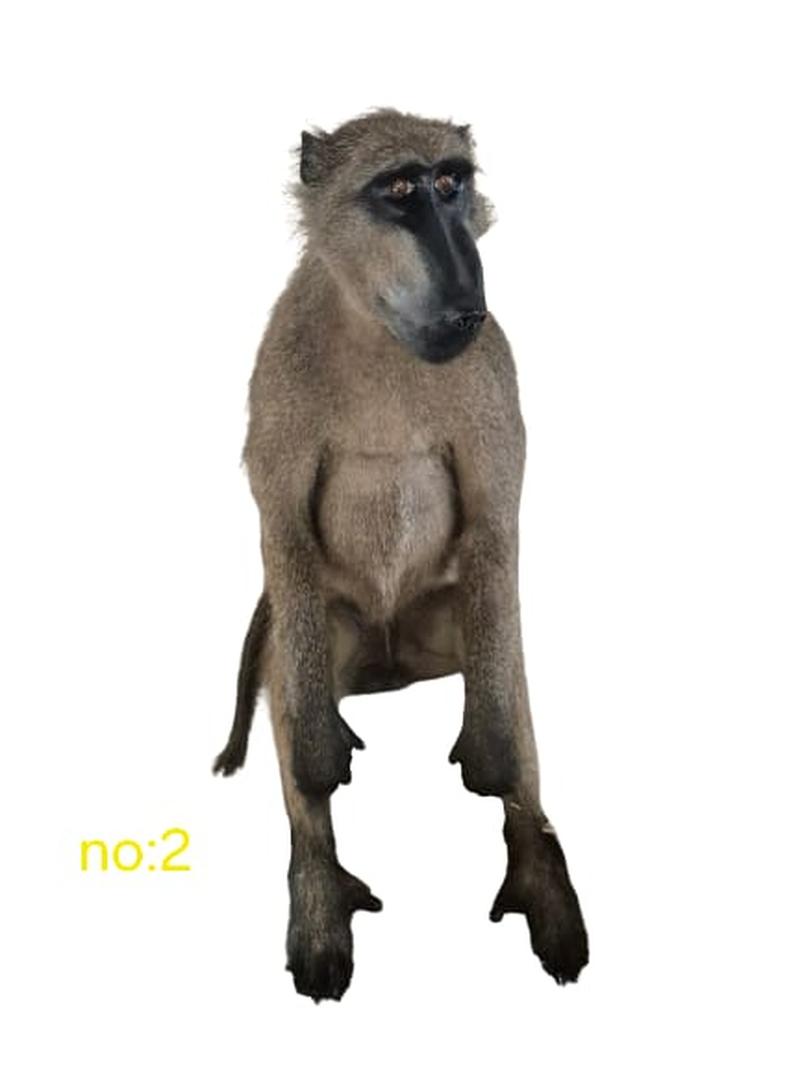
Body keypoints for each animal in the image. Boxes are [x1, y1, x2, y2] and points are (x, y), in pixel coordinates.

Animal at [213, 108, 588, 1002]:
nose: (464, 298)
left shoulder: (492, 375)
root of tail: (391, 669)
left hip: (446, 631)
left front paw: (492, 770)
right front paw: (321, 769)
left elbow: (495, 529)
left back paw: (541, 878)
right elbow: (284, 532)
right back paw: (320, 890)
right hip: (335, 639)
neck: (379, 335)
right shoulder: (278, 376)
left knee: (504, 666)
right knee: (291, 675)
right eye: (400, 191)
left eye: (451, 183)